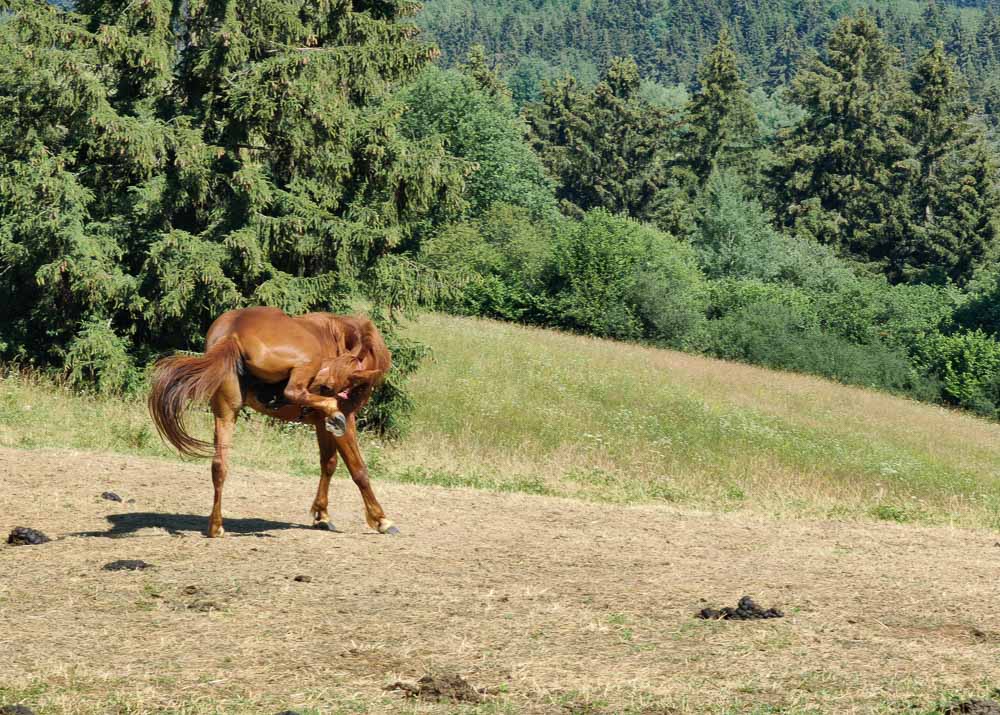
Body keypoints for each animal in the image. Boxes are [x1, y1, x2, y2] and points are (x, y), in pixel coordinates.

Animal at [148, 306, 398, 536]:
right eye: (327, 386)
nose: (323, 393)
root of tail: (233, 331)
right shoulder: (345, 420)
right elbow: (358, 470)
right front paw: (381, 519)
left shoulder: (321, 425)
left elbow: (328, 464)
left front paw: (322, 515)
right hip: (304, 368)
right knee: (293, 392)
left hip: (225, 413)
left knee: (219, 465)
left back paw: (216, 526)